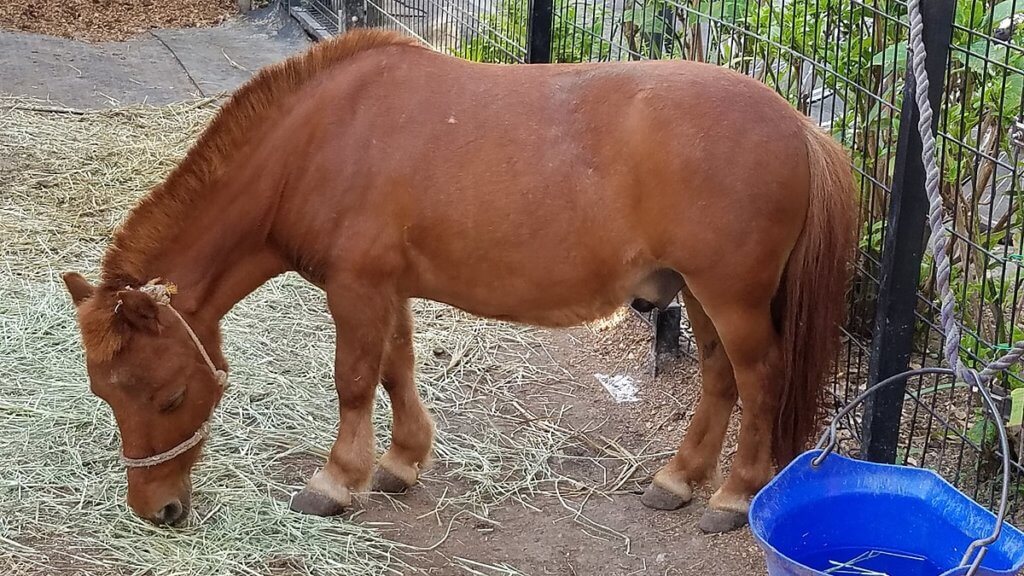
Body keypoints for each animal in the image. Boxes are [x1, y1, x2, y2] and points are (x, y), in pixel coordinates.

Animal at [61, 28, 856, 534]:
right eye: (105, 395)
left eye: (170, 395)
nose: (156, 509)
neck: (318, 142)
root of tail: (798, 127)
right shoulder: (385, 289)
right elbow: (395, 369)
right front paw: (401, 461)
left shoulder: (356, 288)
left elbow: (355, 380)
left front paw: (336, 482)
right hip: (698, 292)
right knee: (721, 378)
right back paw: (679, 479)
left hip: (732, 296)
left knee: (760, 378)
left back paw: (734, 495)